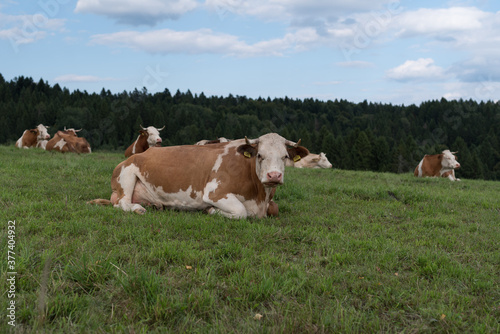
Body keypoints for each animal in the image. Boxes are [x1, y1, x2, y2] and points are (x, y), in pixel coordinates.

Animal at [89, 133, 308, 219]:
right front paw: (211, 211)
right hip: (126, 176)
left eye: (285, 156)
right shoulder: (214, 192)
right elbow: (241, 212)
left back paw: (154, 205)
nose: (274, 175)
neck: (260, 196)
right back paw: (138, 209)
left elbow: (275, 209)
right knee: (122, 203)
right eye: (260, 155)